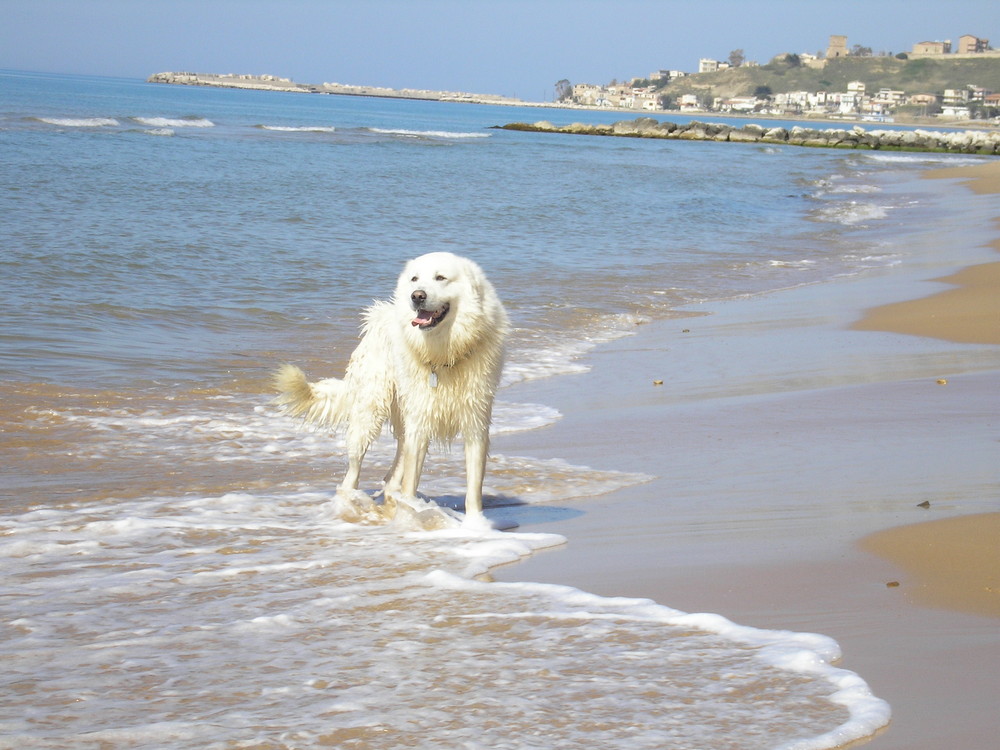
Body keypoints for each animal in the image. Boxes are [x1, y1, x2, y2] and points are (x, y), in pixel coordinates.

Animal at [274, 253, 508, 524]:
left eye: (441, 277)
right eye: (415, 278)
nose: (417, 296)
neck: (444, 353)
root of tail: (379, 315)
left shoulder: (476, 422)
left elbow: (474, 486)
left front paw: (476, 524)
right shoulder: (419, 421)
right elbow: (411, 481)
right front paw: (410, 515)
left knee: (391, 475)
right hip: (370, 412)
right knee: (352, 473)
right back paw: (352, 502)